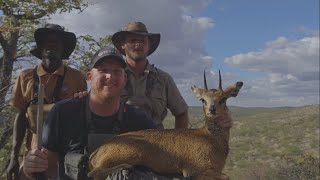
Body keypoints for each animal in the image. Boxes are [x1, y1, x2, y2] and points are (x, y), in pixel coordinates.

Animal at [87, 70, 242, 180]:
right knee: (94, 173)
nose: (212, 109)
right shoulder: (194, 170)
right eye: (203, 99)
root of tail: (98, 150)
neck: (211, 138)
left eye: (223, 98)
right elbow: (227, 176)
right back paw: (126, 167)